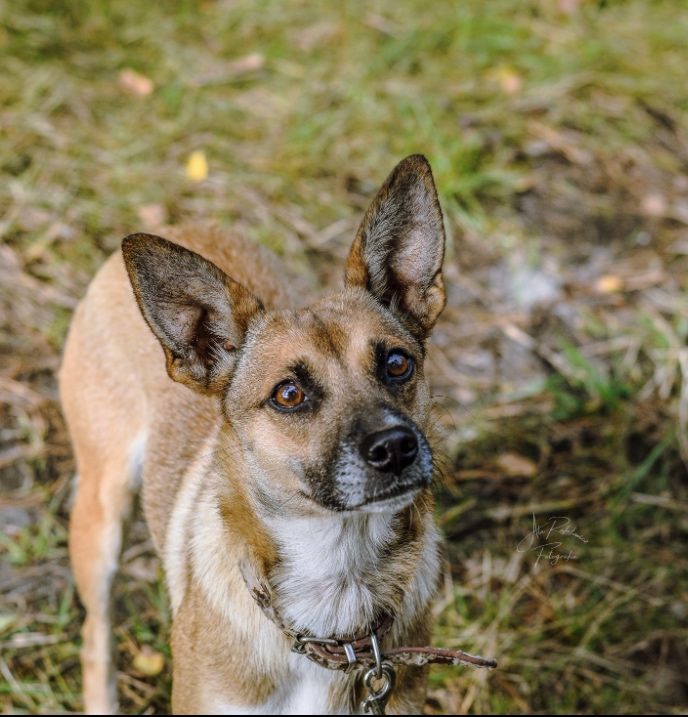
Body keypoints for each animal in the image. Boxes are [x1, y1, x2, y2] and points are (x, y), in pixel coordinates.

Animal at [59, 154, 490, 712]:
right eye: (288, 394)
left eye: (398, 364)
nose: (396, 447)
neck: (337, 589)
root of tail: (184, 223)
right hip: (101, 517)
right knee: (96, 634)